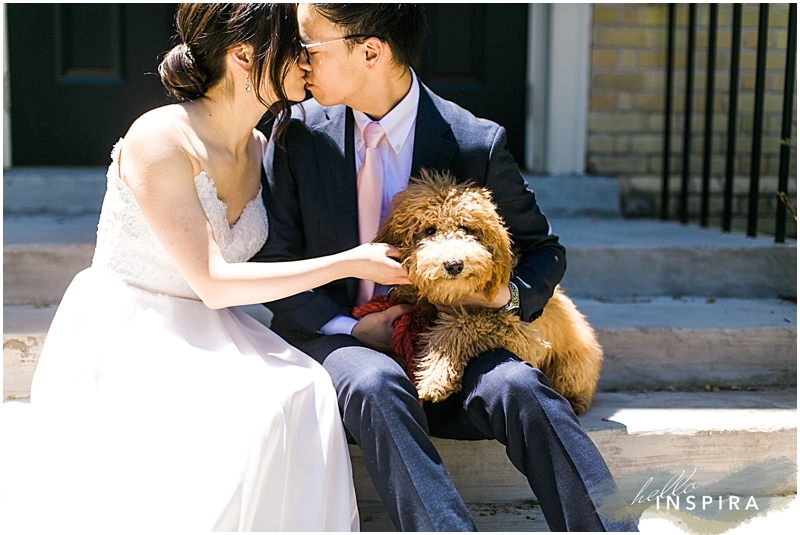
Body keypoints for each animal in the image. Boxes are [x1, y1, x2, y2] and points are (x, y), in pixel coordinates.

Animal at [374, 170, 600, 412]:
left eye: (466, 228)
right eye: (429, 230)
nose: (454, 265)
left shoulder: (521, 332)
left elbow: (462, 325)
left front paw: (435, 377)